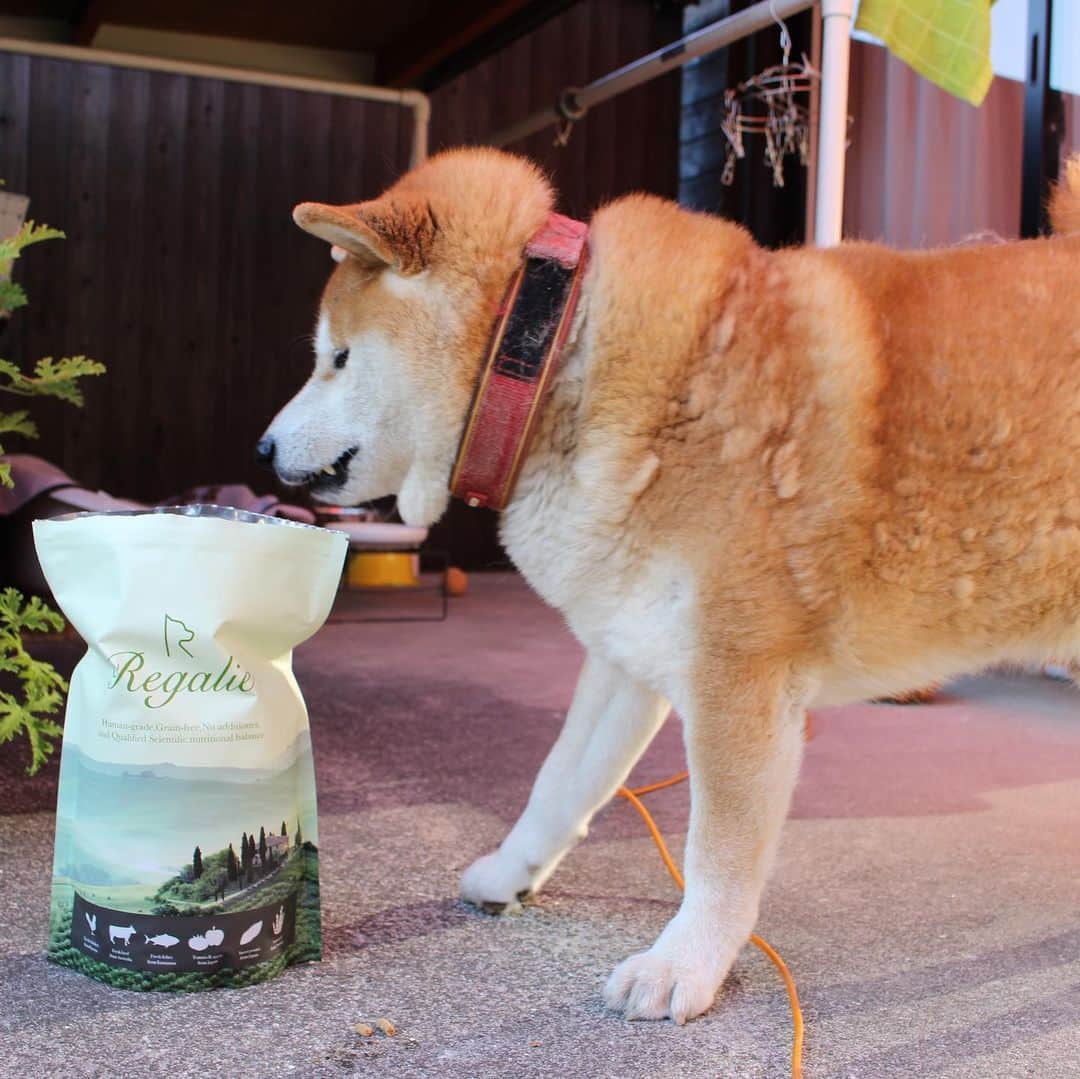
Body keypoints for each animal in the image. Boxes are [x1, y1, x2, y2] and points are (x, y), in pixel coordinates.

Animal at [261, 150, 1080, 1019]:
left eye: (337, 357)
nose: (262, 447)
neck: (556, 358)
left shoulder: (739, 679)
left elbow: (717, 850)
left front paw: (684, 963)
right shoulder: (627, 650)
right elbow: (561, 780)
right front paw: (511, 872)